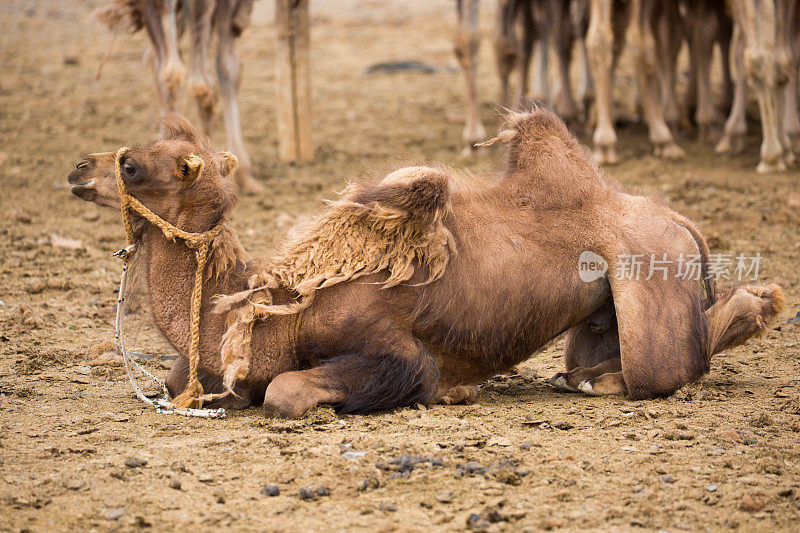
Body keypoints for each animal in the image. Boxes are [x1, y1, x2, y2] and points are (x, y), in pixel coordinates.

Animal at [67, 108, 780, 416]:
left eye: (131, 165)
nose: (78, 169)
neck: (277, 316)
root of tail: (673, 215)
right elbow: (177, 381)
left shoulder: (393, 350)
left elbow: (285, 390)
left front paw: (451, 391)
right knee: (597, 361)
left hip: (649, 274)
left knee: (664, 366)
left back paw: (757, 303)